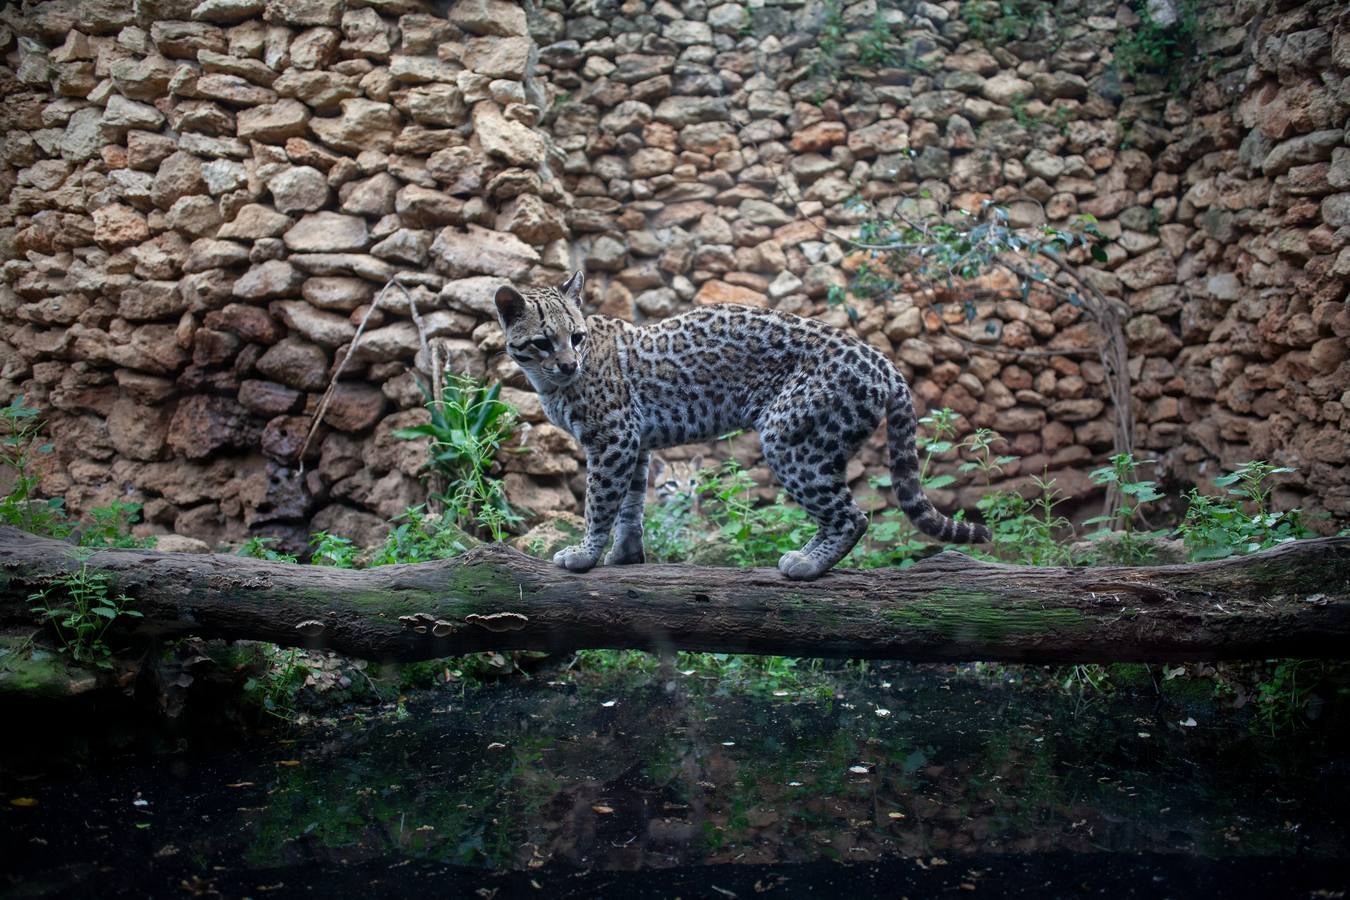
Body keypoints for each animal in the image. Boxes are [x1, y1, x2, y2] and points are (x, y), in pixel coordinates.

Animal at [496, 271, 993, 580]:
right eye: (543, 341)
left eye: (576, 337)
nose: (568, 363)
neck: (549, 381)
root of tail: (882, 361)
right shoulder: (634, 444)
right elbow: (631, 505)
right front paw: (626, 556)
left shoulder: (612, 438)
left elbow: (599, 503)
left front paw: (583, 555)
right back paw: (807, 558)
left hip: (791, 439)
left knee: (852, 516)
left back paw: (808, 566)